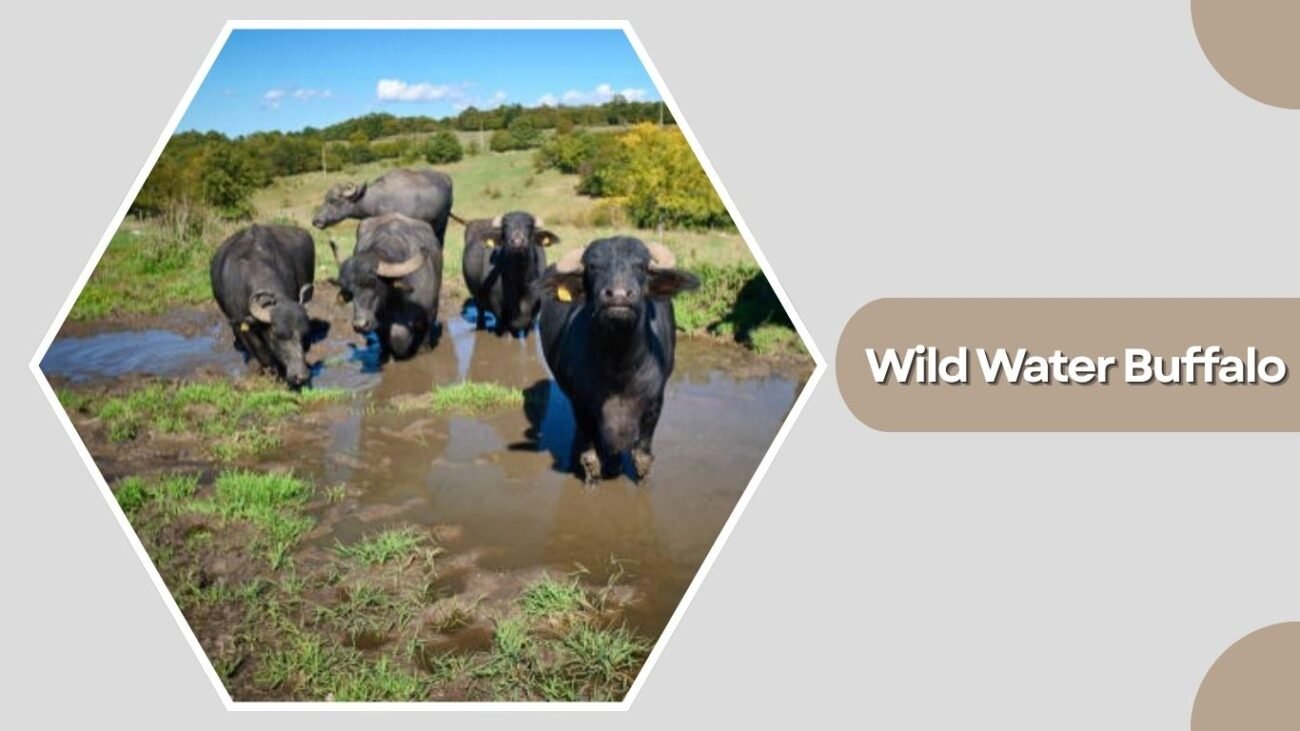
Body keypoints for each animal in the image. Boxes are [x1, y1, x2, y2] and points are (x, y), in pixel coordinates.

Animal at [209, 224, 316, 387]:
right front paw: (271, 373)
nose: (301, 376)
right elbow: (261, 352)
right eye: (278, 335)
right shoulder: (242, 327)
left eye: (304, 334)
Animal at [332, 212, 443, 360]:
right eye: (350, 291)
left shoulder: (428, 313)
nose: (360, 325)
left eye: (373, 283)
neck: (398, 299)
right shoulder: (380, 325)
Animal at [536, 237, 700, 484]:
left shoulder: (654, 405)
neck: (620, 368)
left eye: (641, 266)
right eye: (593, 266)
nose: (619, 295)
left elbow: (642, 458)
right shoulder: (582, 406)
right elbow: (591, 459)